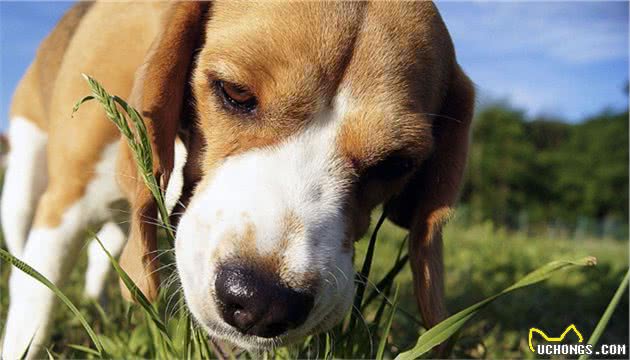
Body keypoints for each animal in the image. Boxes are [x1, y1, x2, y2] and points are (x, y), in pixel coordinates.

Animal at [0, 2, 474, 358]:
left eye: (395, 164)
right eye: (235, 92)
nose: (263, 302)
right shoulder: (65, 204)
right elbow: (34, 299)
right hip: (24, 181)